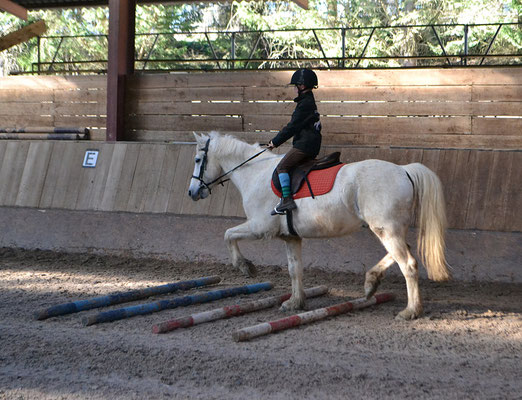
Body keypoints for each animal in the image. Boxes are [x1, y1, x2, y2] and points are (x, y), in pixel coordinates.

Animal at [187, 133, 446, 320]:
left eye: (198, 160)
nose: (192, 192)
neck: (255, 173)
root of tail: (403, 170)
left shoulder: (260, 228)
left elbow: (228, 234)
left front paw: (245, 266)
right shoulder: (290, 237)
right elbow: (295, 269)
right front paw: (295, 302)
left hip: (386, 229)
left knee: (408, 264)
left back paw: (410, 311)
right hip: (390, 229)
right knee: (402, 253)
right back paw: (371, 282)